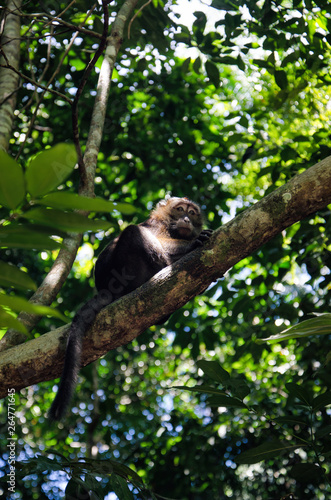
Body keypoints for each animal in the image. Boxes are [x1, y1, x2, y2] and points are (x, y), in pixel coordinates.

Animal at [49, 197, 213, 420]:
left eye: (192, 213)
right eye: (180, 210)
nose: (187, 219)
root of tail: (105, 289)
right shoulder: (157, 225)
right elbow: (155, 237)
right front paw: (191, 244)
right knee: (132, 232)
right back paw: (167, 265)